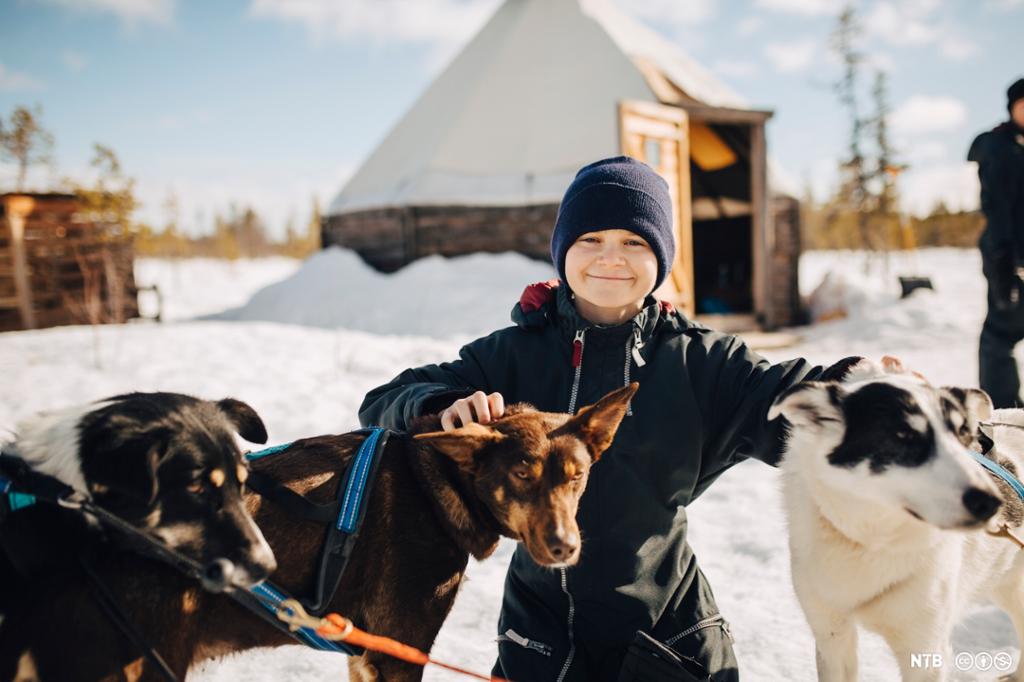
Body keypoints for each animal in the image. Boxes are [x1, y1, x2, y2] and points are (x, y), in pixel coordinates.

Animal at [770, 358, 1024, 675]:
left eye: (963, 434)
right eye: (903, 436)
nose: (992, 502)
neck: (871, 542)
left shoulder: (924, 649)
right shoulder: (832, 637)